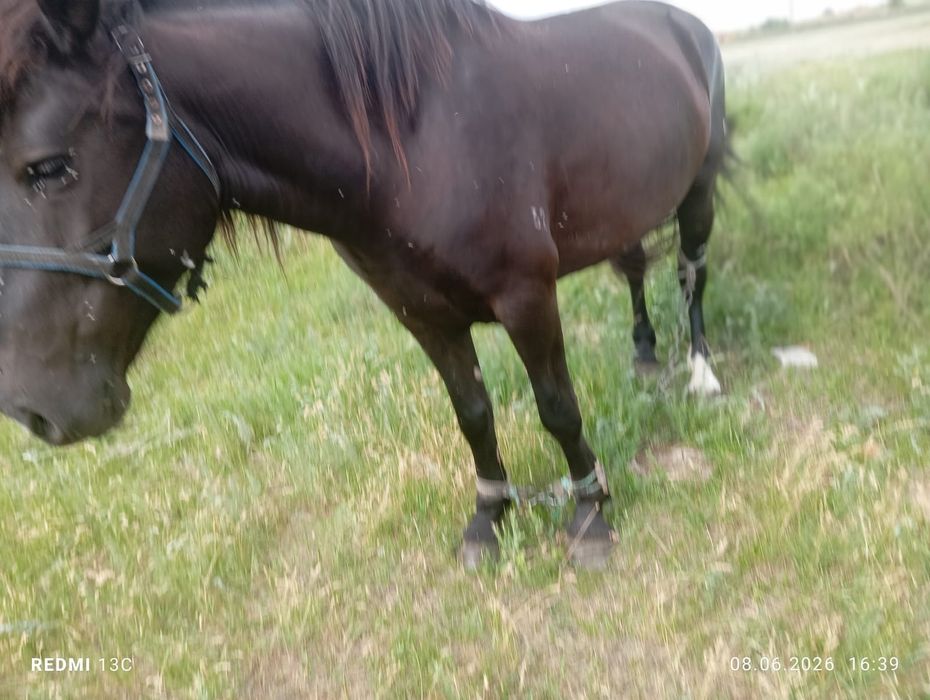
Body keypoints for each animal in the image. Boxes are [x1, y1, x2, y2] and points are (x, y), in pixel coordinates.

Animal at [0, 0, 729, 569]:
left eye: (50, 167)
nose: (30, 406)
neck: (418, 137)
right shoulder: (420, 311)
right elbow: (473, 414)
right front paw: (488, 518)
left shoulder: (526, 295)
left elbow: (557, 407)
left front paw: (589, 513)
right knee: (635, 269)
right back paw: (643, 352)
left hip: (697, 191)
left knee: (691, 275)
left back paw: (702, 374)